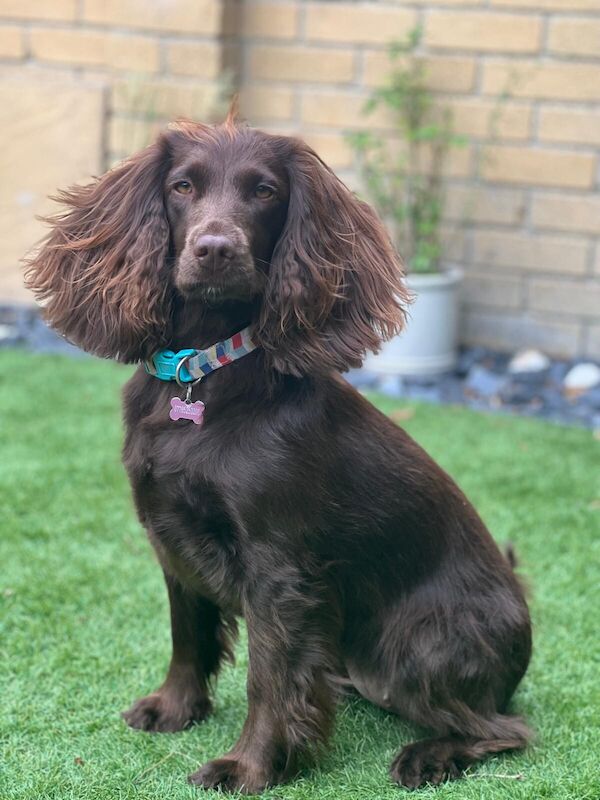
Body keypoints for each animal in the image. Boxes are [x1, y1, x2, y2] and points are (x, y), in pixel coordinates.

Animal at [24, 119, 528, 792]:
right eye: (182, 186)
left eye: (264, 192)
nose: (215, 248)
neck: (202, 374)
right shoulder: (169, 535)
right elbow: (187, 634)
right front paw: (175, 709)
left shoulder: (278, 567)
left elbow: (269, 675)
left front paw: (249, 766)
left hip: (414, 644)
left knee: (503, 727)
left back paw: (428, 756)